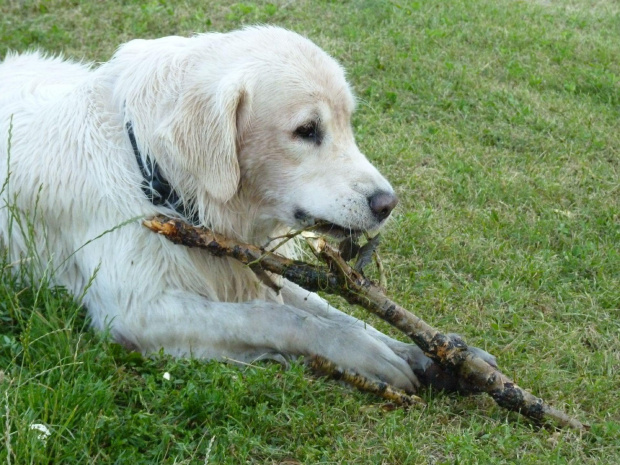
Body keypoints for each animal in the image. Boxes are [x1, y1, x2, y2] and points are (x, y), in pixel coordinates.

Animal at [0, 26, 494, 392]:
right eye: (307, 130)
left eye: (348, 124)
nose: (387, 204)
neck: (152, 174)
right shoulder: (135, 312)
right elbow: (280, 318)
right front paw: (369, 354)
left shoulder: (257, 270)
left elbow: (332, 310)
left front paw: (432, 354)